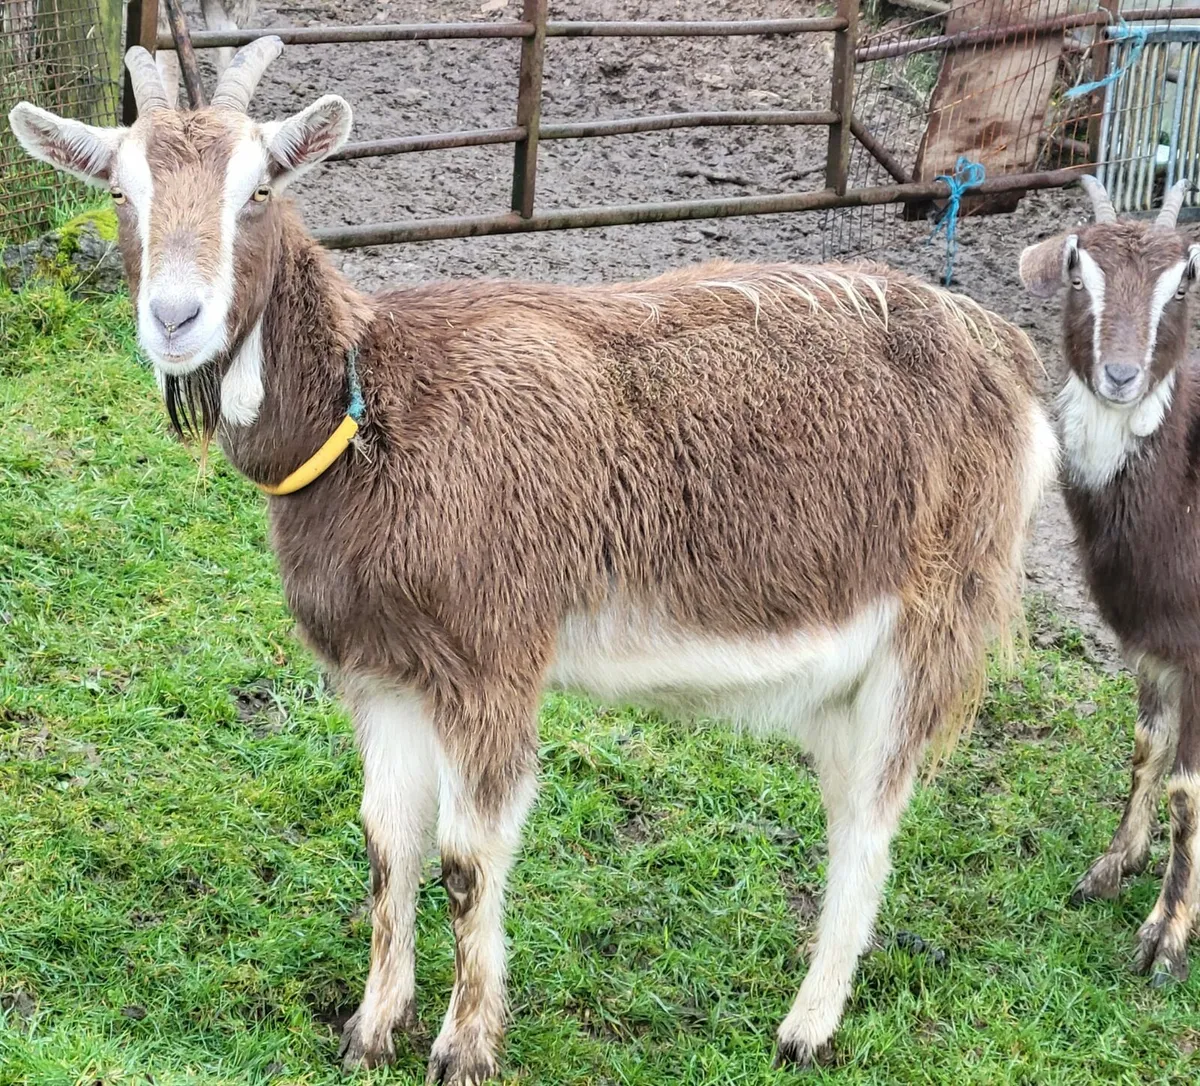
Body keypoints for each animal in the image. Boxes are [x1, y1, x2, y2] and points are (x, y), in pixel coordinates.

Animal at [10, 39, 1057, 1083]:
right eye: (121, 191)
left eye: (260, 187)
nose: (175, 318)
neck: (371, 415)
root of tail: (1003, 351)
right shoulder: (381, 670)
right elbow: (387, 844)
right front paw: (371, 1029)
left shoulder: (493, 659)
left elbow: (468, 862)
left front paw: (465, 1047)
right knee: (854, 813)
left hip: (928, 628)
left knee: (870, 827)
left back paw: (806, 1028)